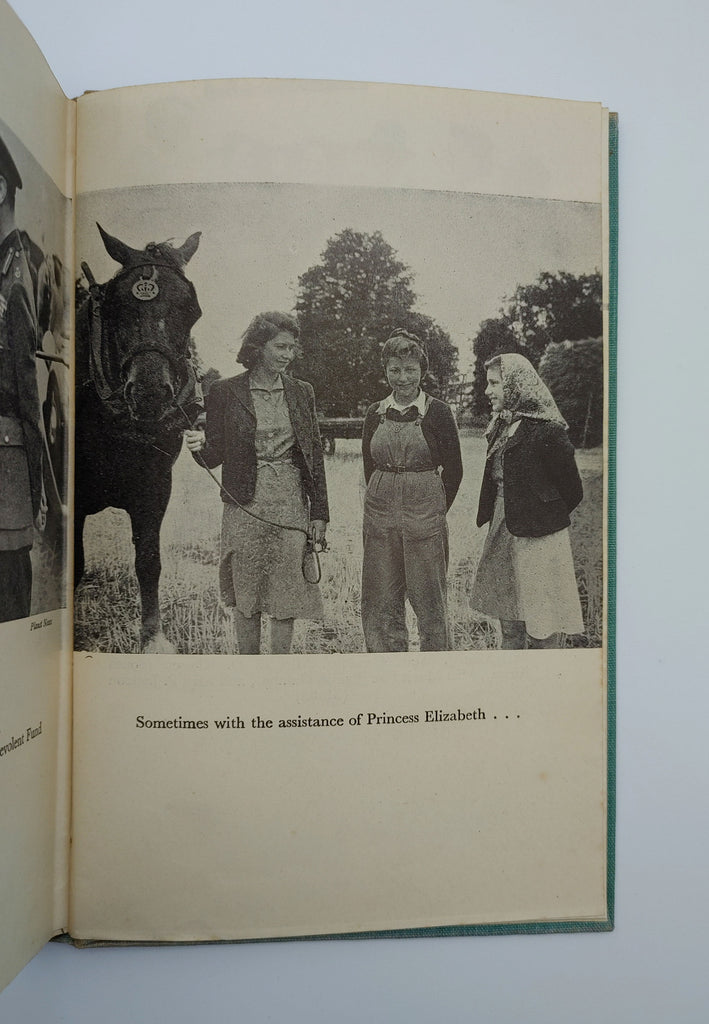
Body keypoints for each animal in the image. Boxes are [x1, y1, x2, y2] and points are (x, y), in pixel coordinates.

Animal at [75, 227, 201, 651]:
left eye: (192, 310)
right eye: (115, 307)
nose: (149, 393)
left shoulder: (155, 487)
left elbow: (148, 560)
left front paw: (153, 637)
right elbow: (74, 562)